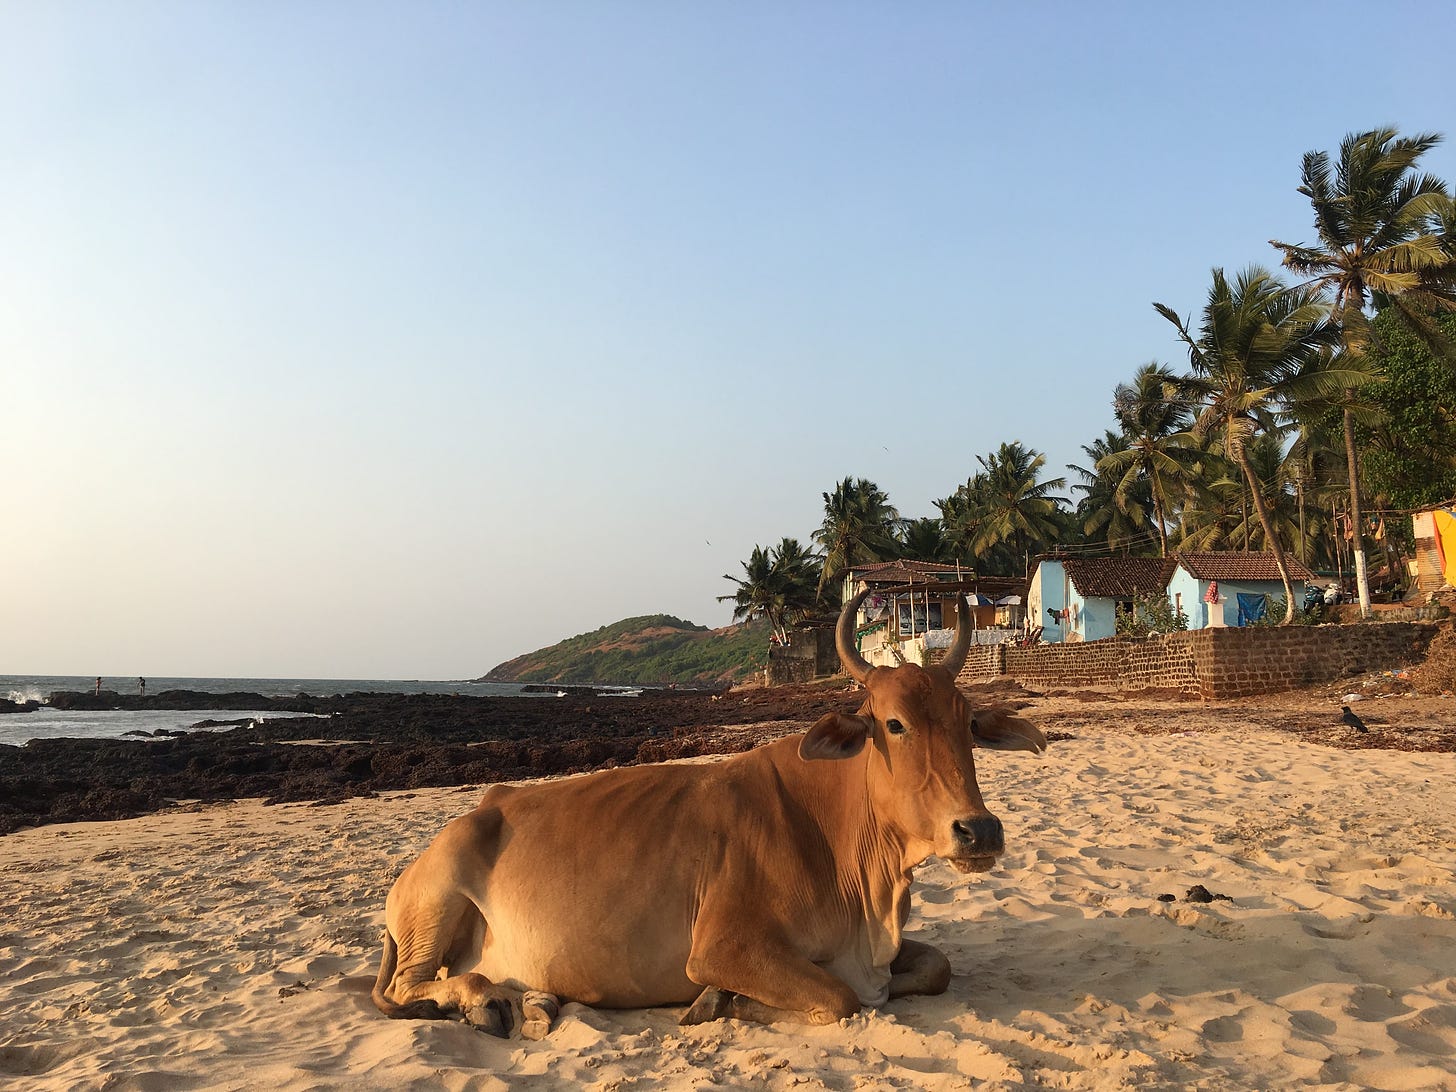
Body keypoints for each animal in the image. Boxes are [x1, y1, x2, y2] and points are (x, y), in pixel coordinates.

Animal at [369, 594, 1042, 1036]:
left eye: (968, 724)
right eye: (894, 724)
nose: (979, 831)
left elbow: (934, 967)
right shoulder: (722, 947)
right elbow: (841, 996)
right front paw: (717, 1003)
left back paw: (535, 1001)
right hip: (435, 900)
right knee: (407, 985)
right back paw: (484, 1002)